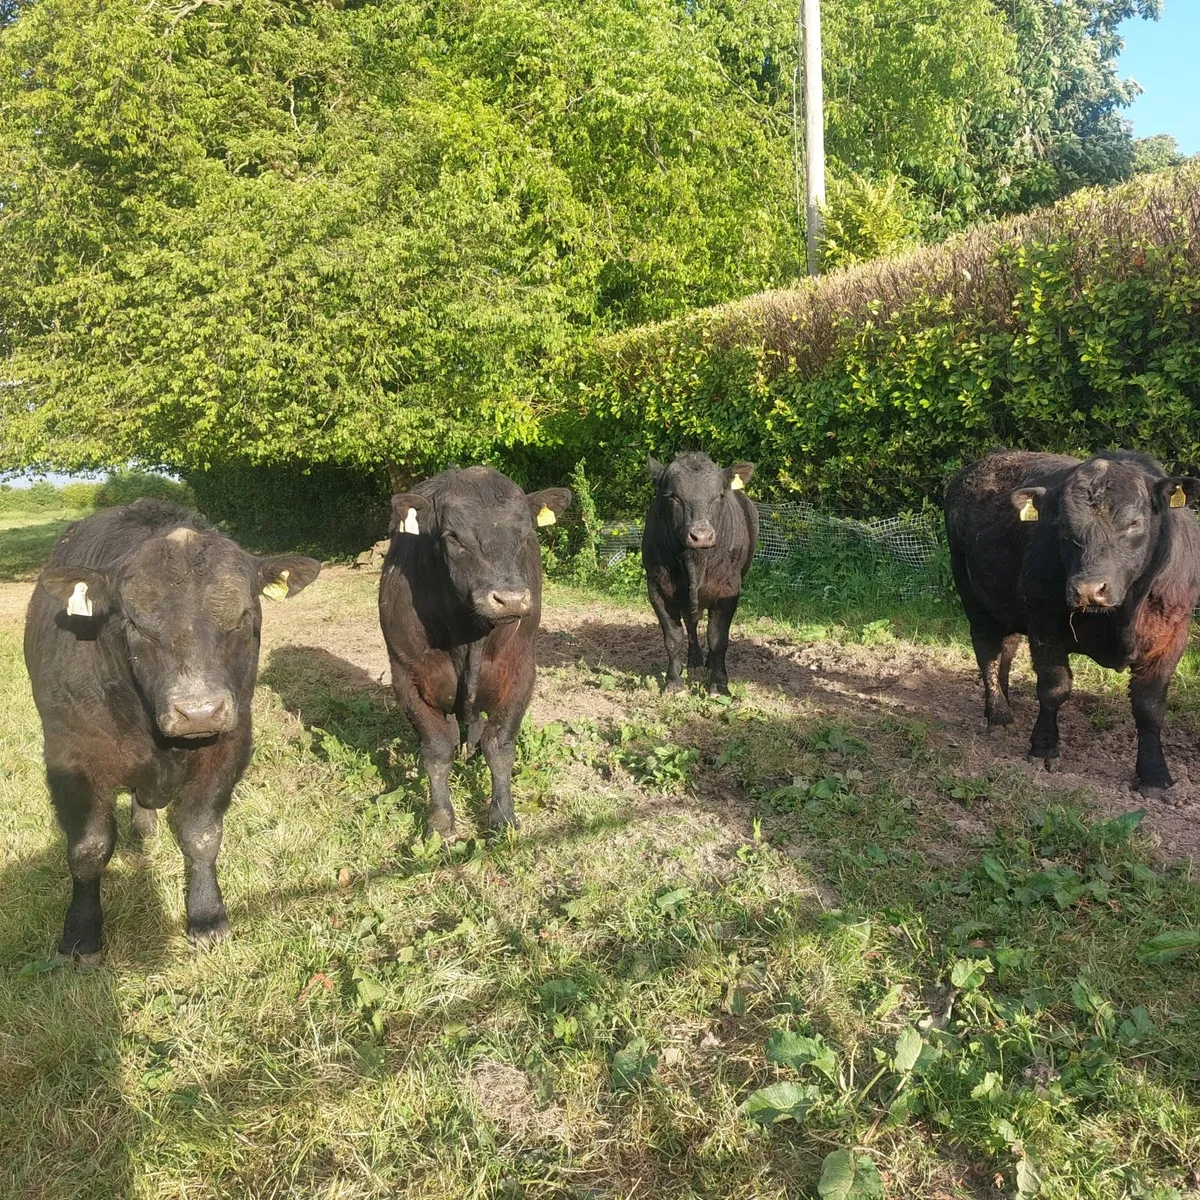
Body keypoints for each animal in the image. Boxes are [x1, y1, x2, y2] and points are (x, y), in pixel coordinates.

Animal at [23, 499, 321, 962]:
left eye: (243, 616)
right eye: (134, 623)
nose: (198, 712)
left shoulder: (230, 745)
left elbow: (201, 835)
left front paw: (207, 917)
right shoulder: (69, 755)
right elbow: (88, 848)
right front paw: (80, 935)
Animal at [379, 466, 571, 838]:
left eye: (526, 533)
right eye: (453, 536)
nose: (510, 599)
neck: (469, 636)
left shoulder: (520, 673)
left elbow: (500, 747)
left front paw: (503, 816)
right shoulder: (407, 676)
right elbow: (437, 750)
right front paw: (441, 821)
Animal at [642, 452, 758, 695]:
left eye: (719, 495)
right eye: (673, 496)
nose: (701, 535)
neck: (695, 562)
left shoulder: (729, 589)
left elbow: (718, 638)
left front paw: (719, 683)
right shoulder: (657, 587)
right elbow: (673, 637)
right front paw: (673, 681)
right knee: (691, 622)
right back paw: (694, 661)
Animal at [945, 449, 1200, 797]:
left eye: (1135, 523)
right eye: (1063, 527)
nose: (1089, 589)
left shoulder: (1171, 636)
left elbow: (1150, 706)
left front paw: (1155, 775)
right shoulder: (1044, 625)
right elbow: (1054, 688)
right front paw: (1043, 748)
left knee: (1006, 650)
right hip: (973, 595)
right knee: (989, 652)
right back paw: (998, 715)